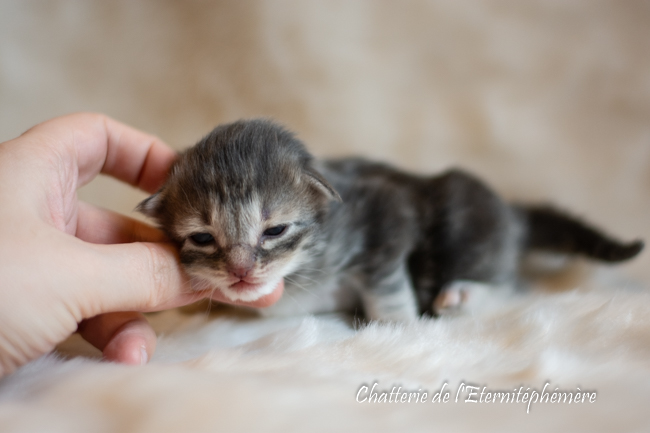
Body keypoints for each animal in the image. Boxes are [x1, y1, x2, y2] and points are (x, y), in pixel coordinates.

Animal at [138, 119, 644, 321]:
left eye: (275, 230)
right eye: (203, 238)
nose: (241, 272)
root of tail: (512, 214)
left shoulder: (387, 216)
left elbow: (386, 287)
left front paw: (399, 326)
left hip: (463, 228)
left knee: (513, 287)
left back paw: (462, 295)